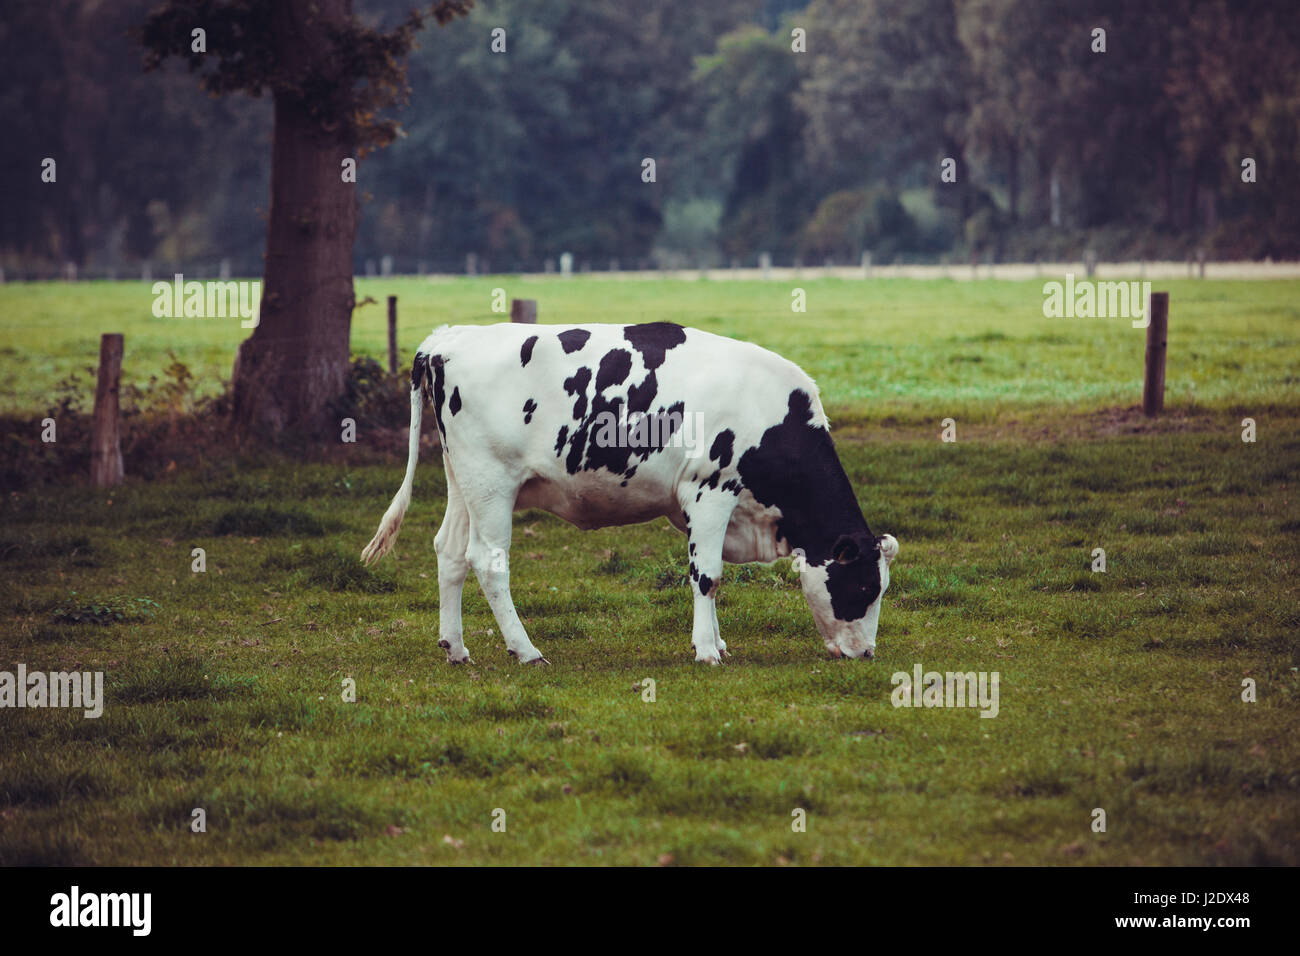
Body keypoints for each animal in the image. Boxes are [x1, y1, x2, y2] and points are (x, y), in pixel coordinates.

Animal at [361, 321, 898, 665]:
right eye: (865, 588)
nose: (867, 653)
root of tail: (448, 339)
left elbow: (709, 574)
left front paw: (717, 643)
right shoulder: (711, 489)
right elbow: (708, 575)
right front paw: (707, 651)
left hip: (463, 481)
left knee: (449, 553)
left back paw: (455, 648)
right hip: (492, 482)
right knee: (488, 562)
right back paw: (526, 651)